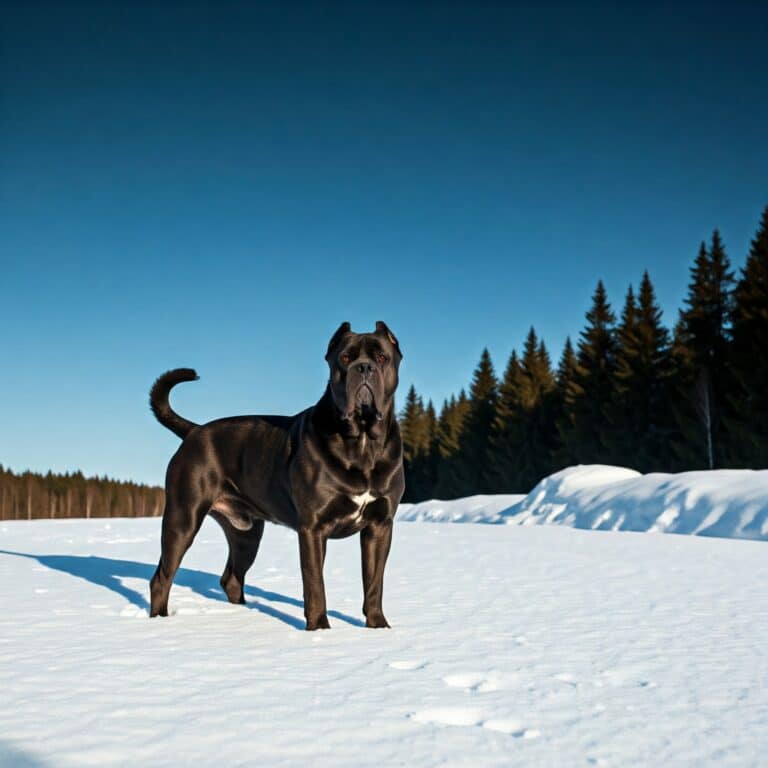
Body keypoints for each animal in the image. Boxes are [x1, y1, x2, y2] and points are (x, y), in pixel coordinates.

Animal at [146, 320, 404, 628]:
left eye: (382, 357)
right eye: (344, 358)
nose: (363, 367)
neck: (362, 442)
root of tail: (194, 430)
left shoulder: (380, 526)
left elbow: (374, 582)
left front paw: (378, 627)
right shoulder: (313, 528)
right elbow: (315, 585)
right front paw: (320, 629)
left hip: (246, 533)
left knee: (232, 578)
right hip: (182, 518)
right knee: (162, 578)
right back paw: (160, 623)